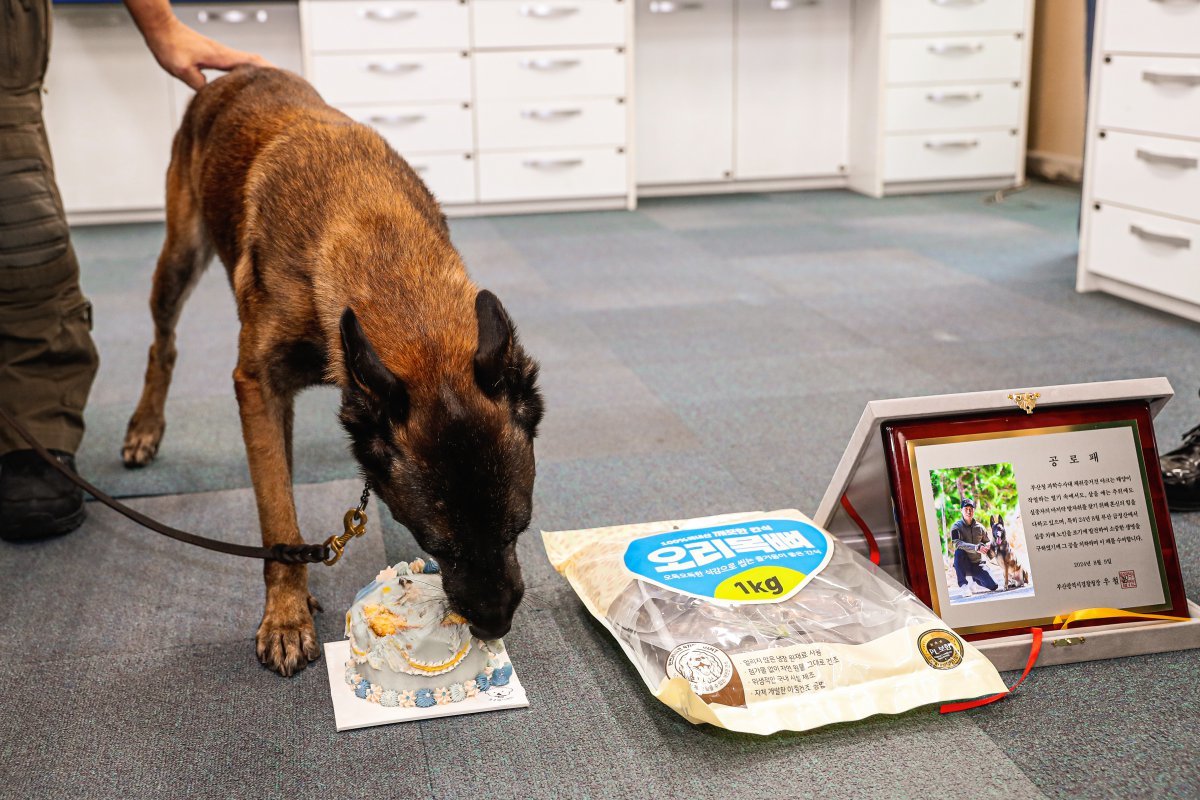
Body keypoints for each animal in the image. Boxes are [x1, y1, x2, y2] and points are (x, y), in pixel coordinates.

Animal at [120, 68, 544, 681]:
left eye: (519, 528)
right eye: (436, 544)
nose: (495, 626)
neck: (377, 235)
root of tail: (231, 76)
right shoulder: (257, 386)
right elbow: (277, 518)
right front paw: (286, 615)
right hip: (178, 259)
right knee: (163, 346)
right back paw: (145, 428)